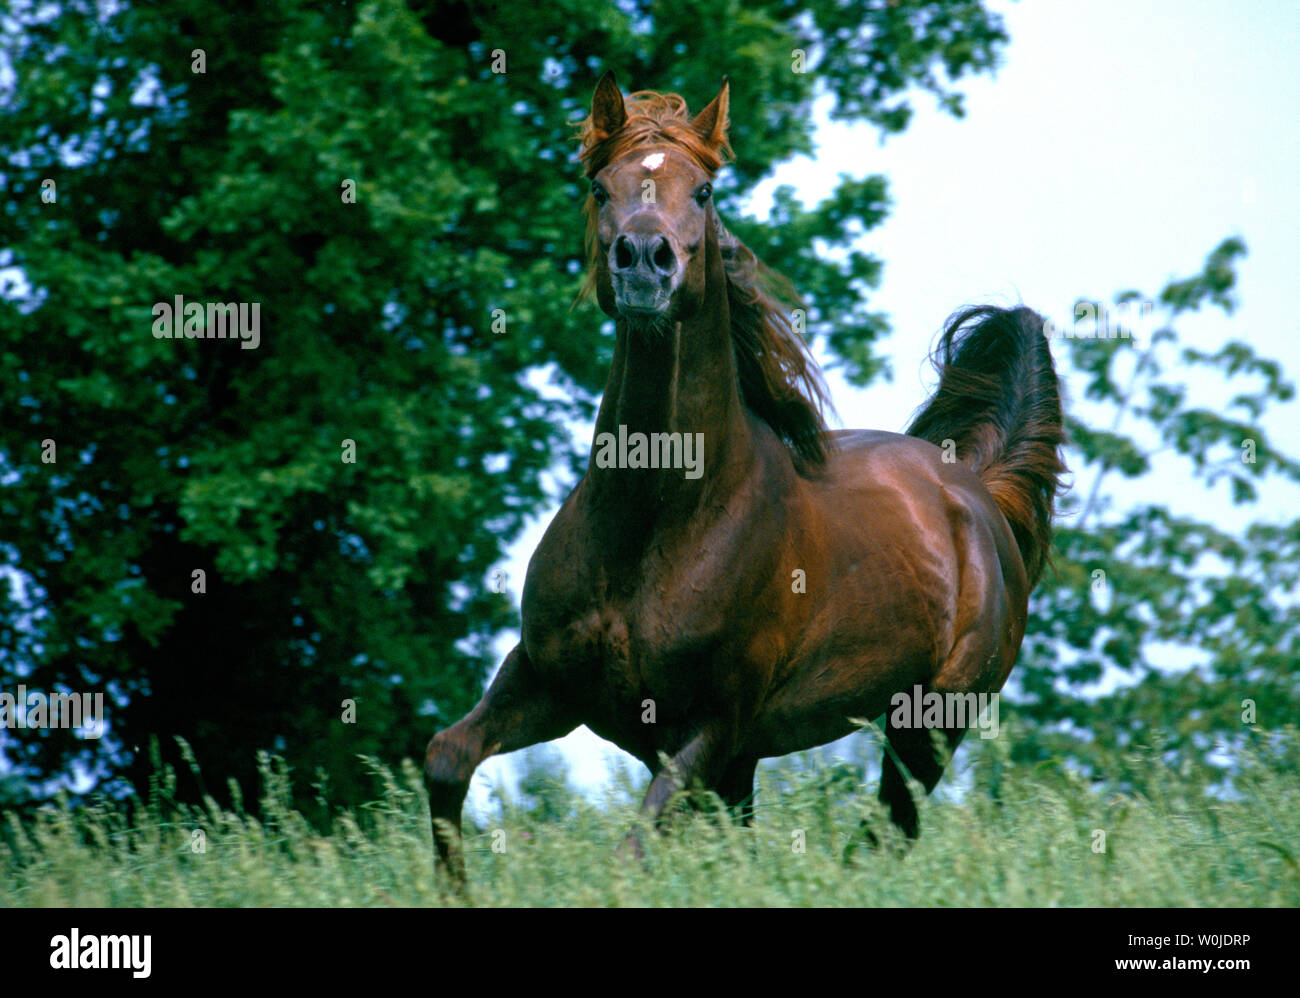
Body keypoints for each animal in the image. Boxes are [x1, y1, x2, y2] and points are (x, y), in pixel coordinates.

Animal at [426, 70, 1066, 888]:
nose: (644, 262)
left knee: (884, 835)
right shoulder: (547, 681)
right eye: (600, 187)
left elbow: (632, 851)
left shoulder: (713, 725)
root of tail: (979, 492)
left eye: (702, 192)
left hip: (926, 725)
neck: (658, 519)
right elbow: (447, 757)